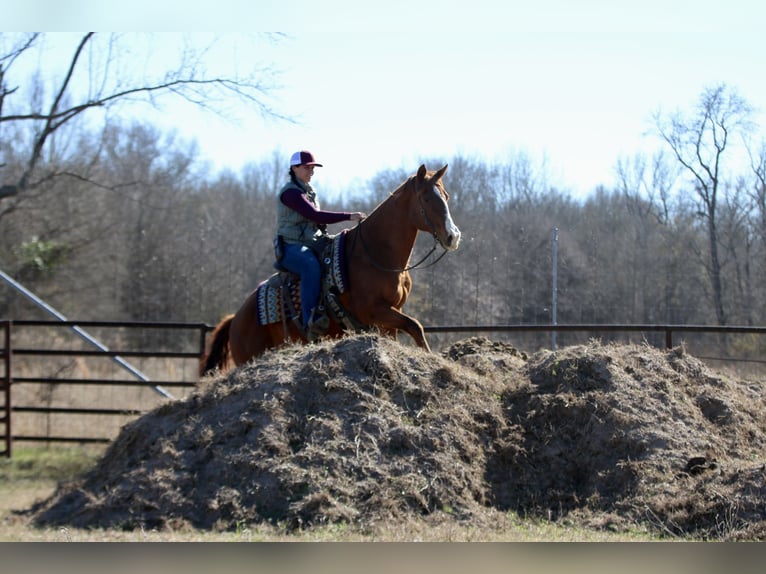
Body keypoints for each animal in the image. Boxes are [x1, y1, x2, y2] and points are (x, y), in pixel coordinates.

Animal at [199, 164, 461, 377]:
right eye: (426, 198)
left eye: (446, 196)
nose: (453, 236)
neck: (375, 253)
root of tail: (236, 319)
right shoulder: (375, 311)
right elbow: (416, 325)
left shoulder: (391, 316)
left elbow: (411, 328)